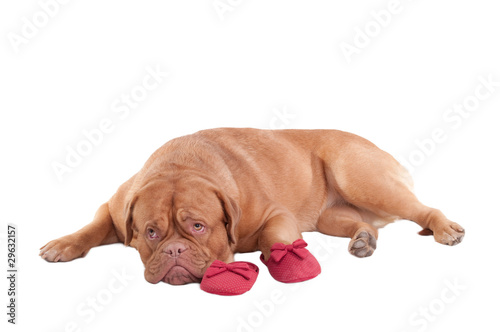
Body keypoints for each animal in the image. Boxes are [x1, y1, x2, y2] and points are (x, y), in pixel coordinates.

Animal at [40, 127, 464, 286]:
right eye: (151, 232)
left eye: (198, 227)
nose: (175, 251)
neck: (181, 166)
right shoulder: (115, 208)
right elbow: (92, 226)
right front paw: (63, 244)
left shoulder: (276, 215)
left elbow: (275, 236)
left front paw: (286, 260)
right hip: (333, 215)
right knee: (365, 224)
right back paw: (363, 240)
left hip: (361, 177)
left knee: (422, 208)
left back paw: (445, 228)